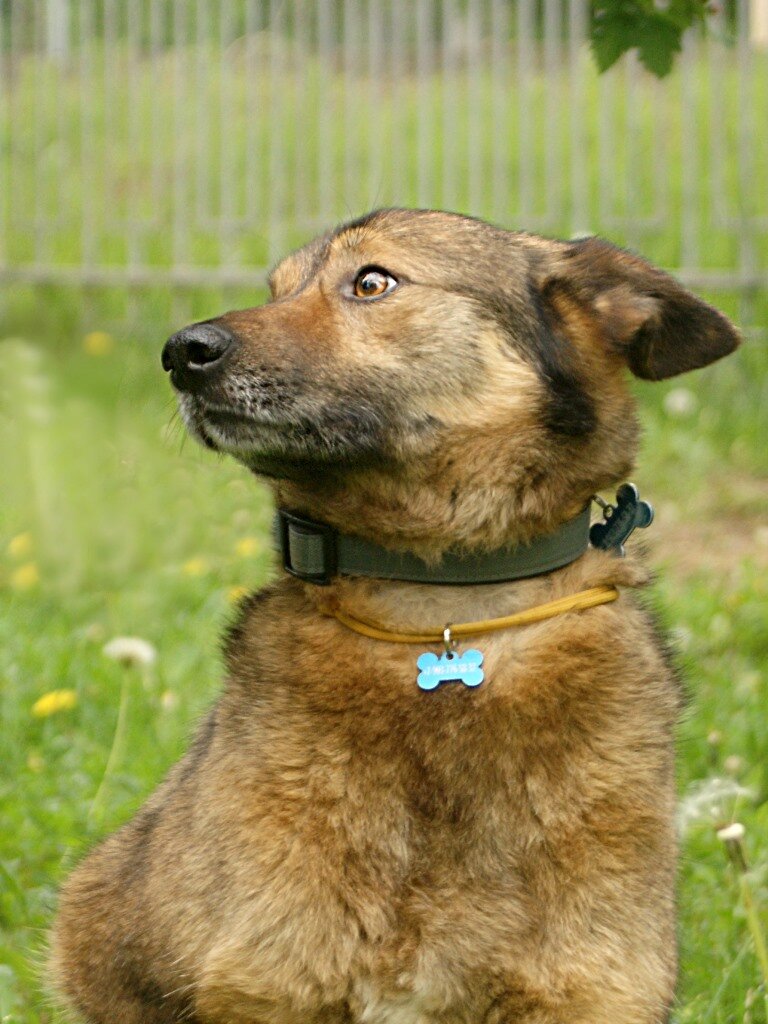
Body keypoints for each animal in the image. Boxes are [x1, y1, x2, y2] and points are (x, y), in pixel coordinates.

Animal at [52, 209, 739, 1023]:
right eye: (277, 289)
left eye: (373, 282)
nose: (180, 352)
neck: (441, 609)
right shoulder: (267, 981)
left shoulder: (594, 988)